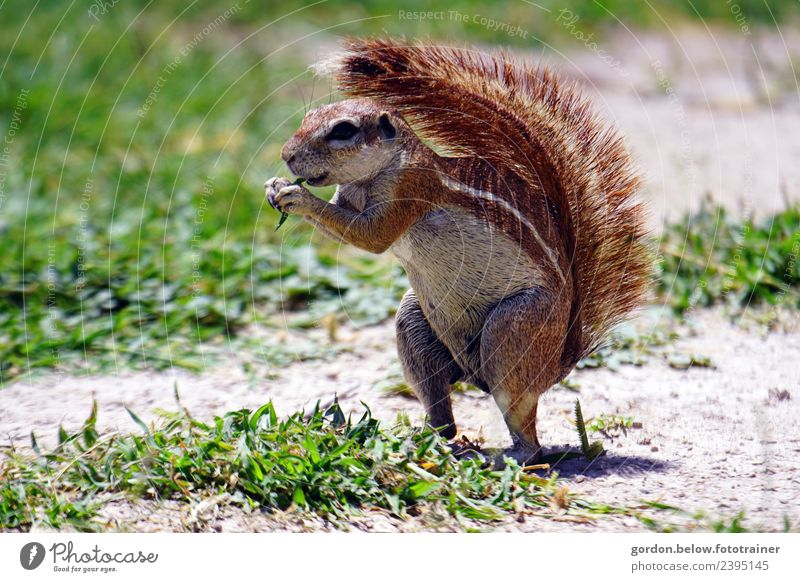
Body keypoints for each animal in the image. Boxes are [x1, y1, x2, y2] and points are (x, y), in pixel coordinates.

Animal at [266, 37, 652, 466]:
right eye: (310, 115)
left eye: (343, 131)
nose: (286, 155)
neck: (376, 174)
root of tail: (559, 361)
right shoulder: (348, 196)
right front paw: (274, 187)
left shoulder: (410, 190)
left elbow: (372, 237)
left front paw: (297, 196)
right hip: (415, 324)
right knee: (443, 410)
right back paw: (419, 439)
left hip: (514, 330)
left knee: (527, 432)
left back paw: (505, 458)